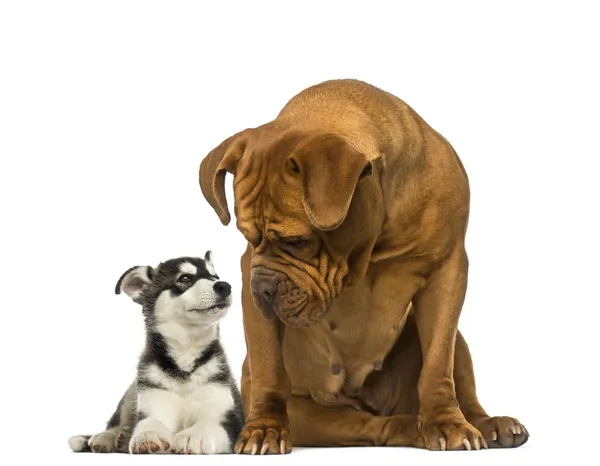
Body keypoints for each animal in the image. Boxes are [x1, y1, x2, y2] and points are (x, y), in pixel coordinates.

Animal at [67, 253, 241, 454]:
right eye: (185, 278)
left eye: (215, 276)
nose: (224, 286)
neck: (185, 356)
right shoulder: (153, 400)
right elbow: (149, 422)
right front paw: (148, 434)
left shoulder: (228, 419)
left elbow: (208, 425)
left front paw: (192, 435)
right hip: (132, 391)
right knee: (117, 421)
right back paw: (108, 437)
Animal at [199, 78, 528, 454]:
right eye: (248, 237)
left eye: (298, 241)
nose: (263, 289)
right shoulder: (249, 280)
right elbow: (268, 366)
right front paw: (264, 428)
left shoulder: (448, 270)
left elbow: (438, 362)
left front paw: (447, 423)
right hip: (314, 415)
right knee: (371, 424)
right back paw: (411, 427)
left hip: (457, 339)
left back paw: (487, 423)